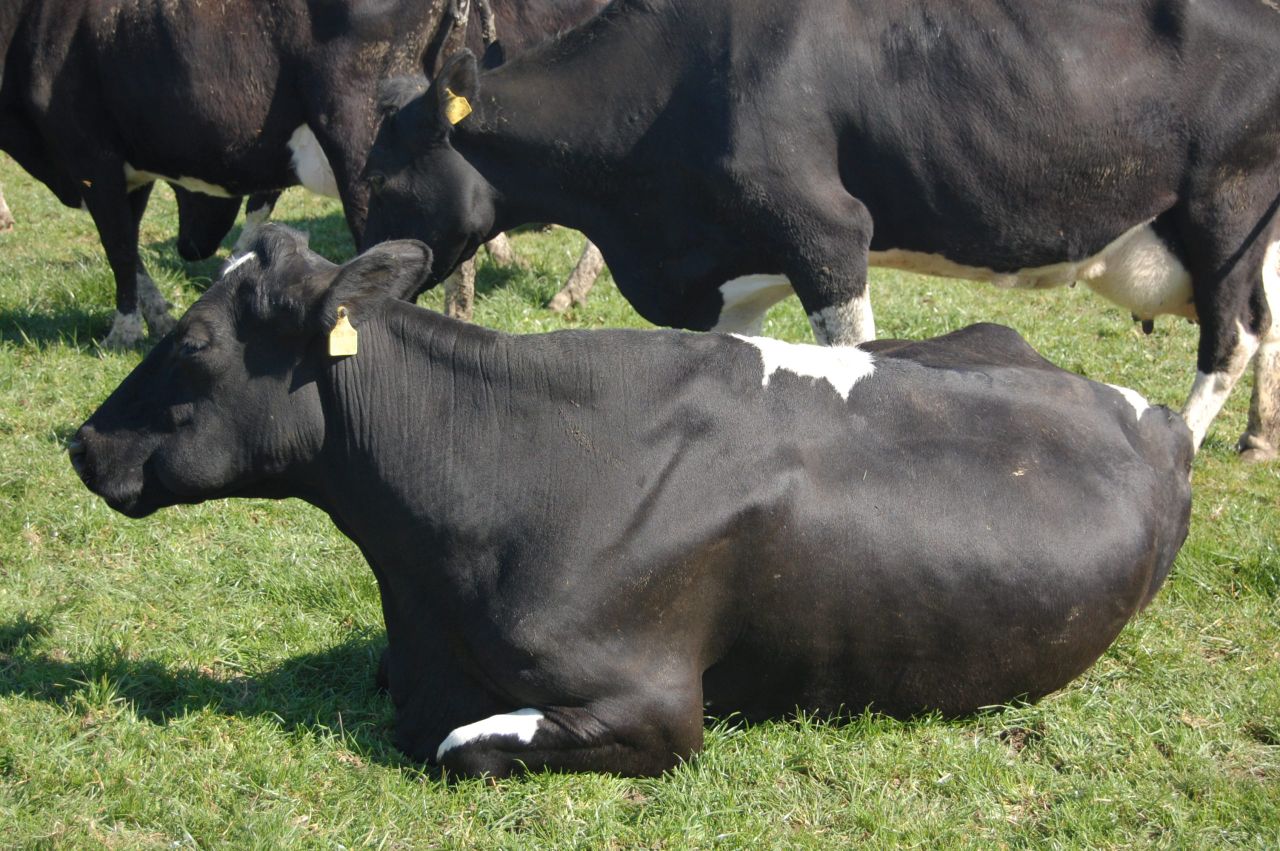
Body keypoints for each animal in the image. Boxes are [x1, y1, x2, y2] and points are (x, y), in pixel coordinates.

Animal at [0, 0, 604, 349]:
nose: (190, 247)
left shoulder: (89, 155)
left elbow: (120, 248)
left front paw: (124, 330)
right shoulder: (125, 164)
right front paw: (161, 316)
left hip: (360, 137)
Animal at [361, 0, 1280, 462]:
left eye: (380, 180)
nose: (367, 273)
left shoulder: (828, 232)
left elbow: (853, 354)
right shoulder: (734, 270)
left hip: (1223, 208)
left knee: (1231, 336)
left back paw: (1187, 443)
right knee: (1267, 324)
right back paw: (1257, 440)